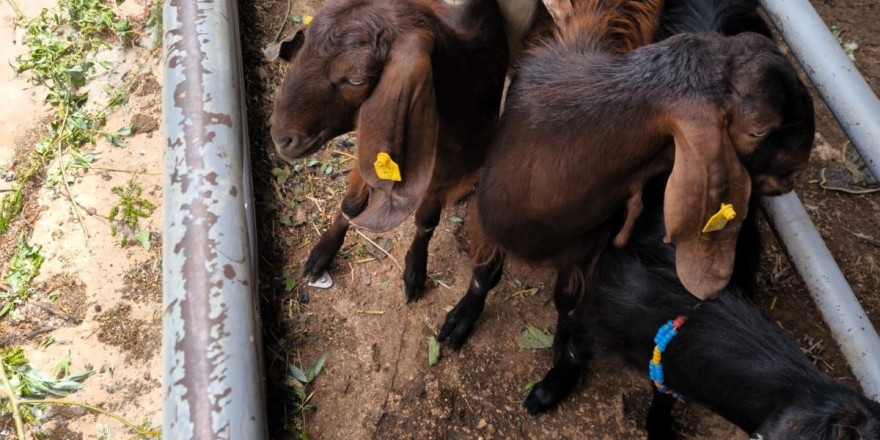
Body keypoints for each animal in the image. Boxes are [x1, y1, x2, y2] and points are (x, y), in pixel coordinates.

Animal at [268, 0, 508, 300]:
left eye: (356, 80)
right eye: (303, 48)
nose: (281, 139)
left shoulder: (443, 176)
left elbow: (427, 221)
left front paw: (415, 272)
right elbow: (350, 205)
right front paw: (322, 253)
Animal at [436, 2, 816, 348]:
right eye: (759, 130)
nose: (794, 174)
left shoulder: (587, 247)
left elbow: (567, 302)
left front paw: (563, 361)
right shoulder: (487, 219)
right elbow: (483, 274)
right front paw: (461, 318)